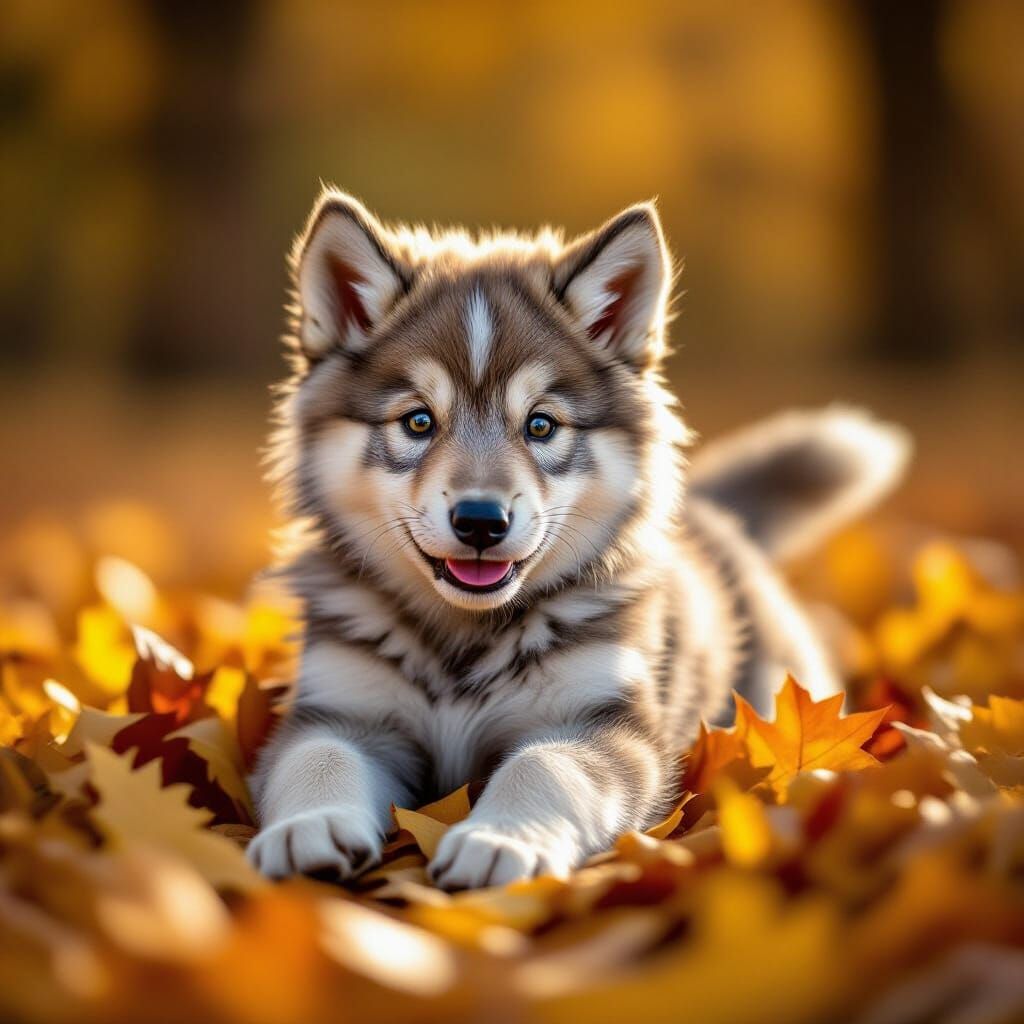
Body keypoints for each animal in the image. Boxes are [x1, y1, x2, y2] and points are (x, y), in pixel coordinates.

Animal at [247, 189, 909, 890]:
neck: (462, 640)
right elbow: (316, 758)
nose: (481, 520)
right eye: (419, 421)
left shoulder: (604, 724)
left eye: (541, 425)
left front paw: (499, 839)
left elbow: (543, 765)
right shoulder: (341, 711)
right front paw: (308, 828)